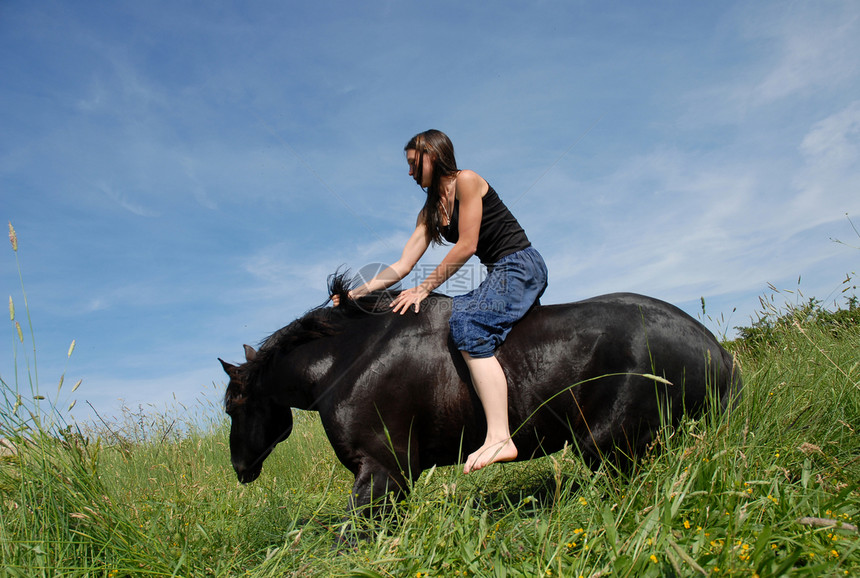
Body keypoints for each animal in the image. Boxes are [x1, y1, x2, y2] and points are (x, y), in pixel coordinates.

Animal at [217, 274, 740, 512]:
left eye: (234, 405)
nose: (240, 468)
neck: (350, 359)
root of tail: (715, 350)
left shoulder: (382, 472)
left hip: (608, 446)